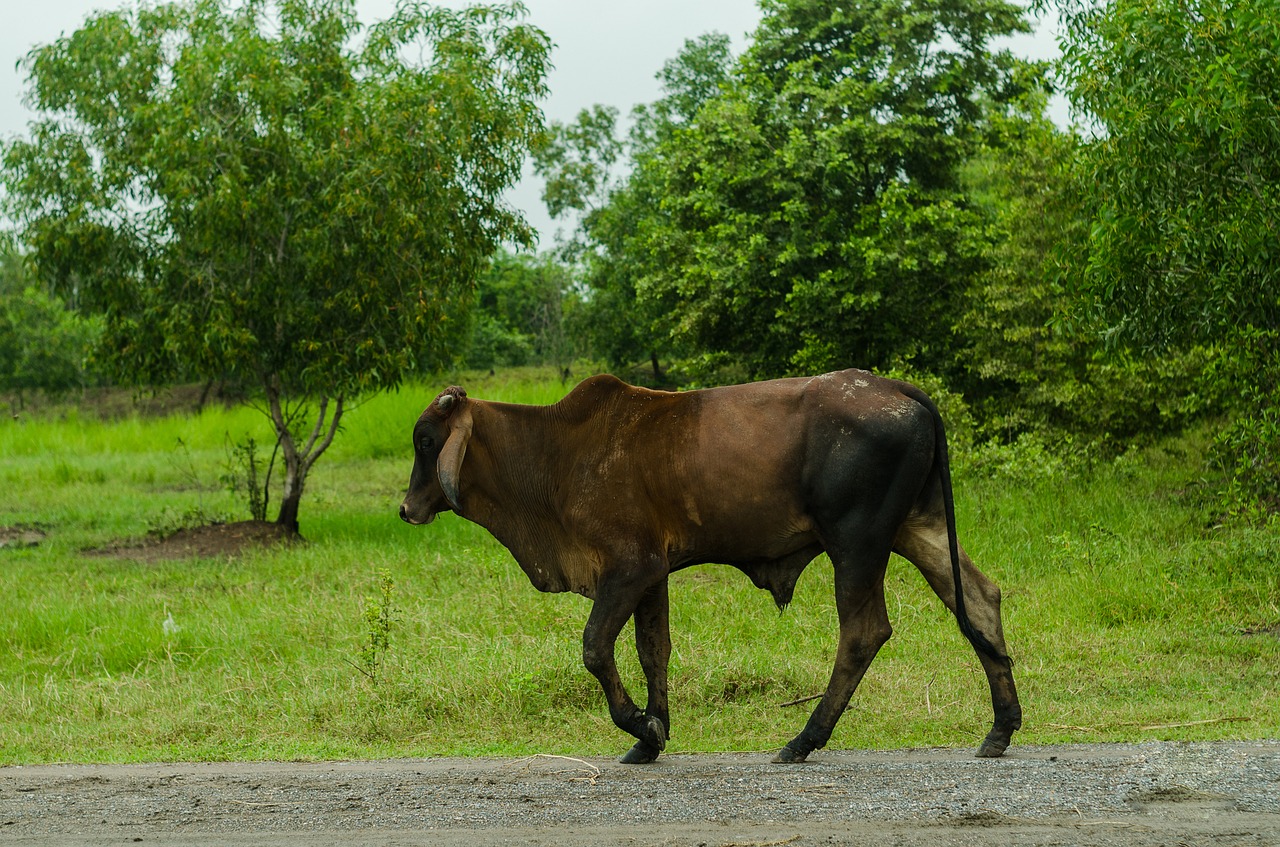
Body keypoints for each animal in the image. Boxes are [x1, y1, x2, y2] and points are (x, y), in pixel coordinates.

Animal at [399, 371, 1018, 762]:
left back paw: (803, 740)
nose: (406, 509)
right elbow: (654, 650)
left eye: (426, 440)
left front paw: (641, 725)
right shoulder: (652, 575)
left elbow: (596, 648)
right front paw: (650, 737)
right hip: (918, 527)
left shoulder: (628, 569)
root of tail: (899, 388)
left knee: (865, 632)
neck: (554, 453)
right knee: (981, 600)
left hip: (857, 541)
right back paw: (1000, 729)